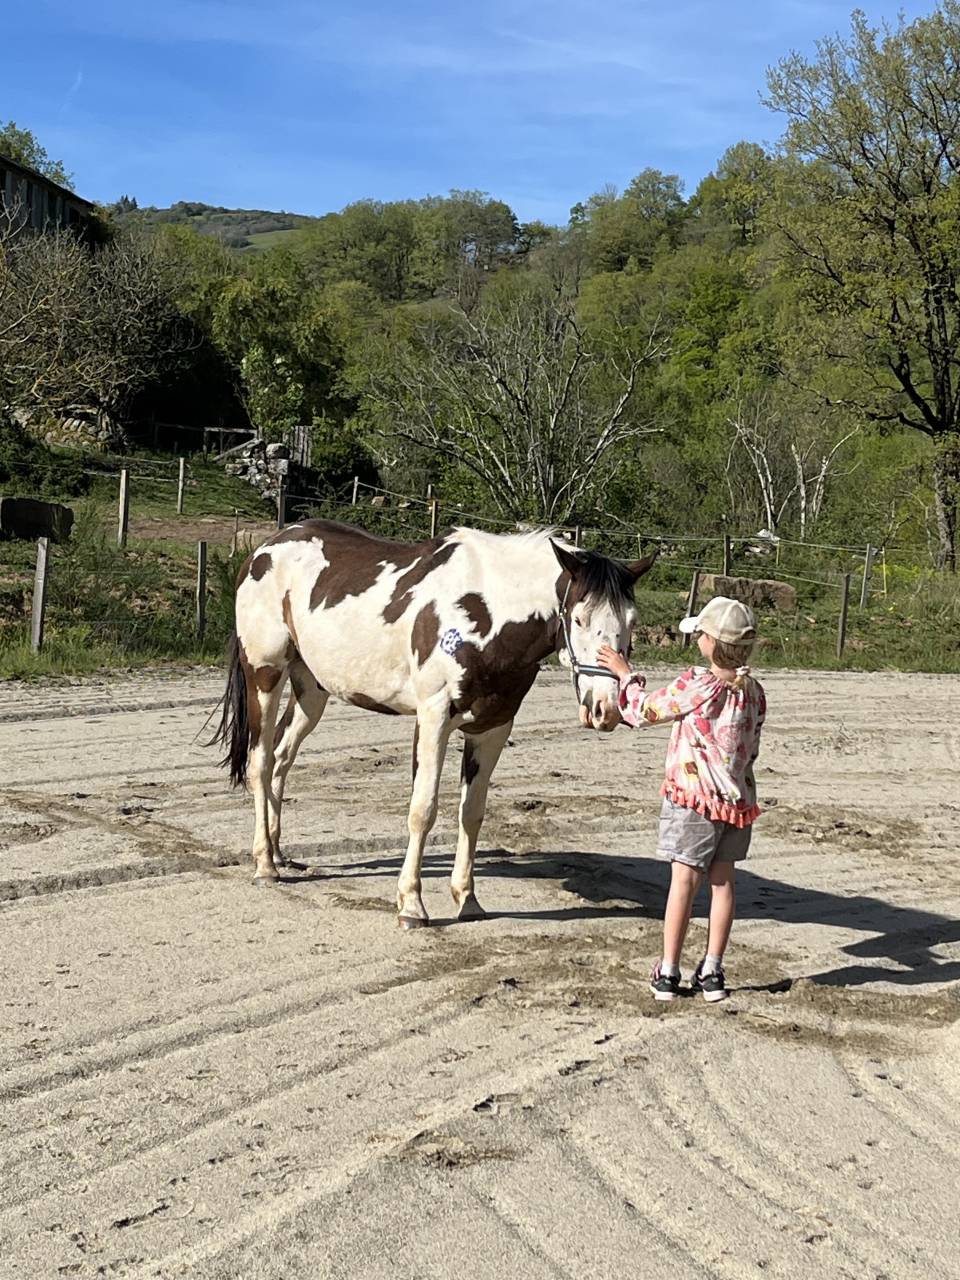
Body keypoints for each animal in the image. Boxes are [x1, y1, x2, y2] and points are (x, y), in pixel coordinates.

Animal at [213, 518, 656, 928]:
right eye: (578, 619)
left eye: (631, 622)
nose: (606, 709)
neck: (487, 612)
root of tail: (263, 549)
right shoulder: (433, 719)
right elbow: (422, 810)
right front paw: (411, 905)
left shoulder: (493, 728)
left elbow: (471, 813)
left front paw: (467, 899)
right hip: (265, 675)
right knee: (261, 762)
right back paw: (264, 865)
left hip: (312, 691)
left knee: (282, 758)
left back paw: (277, 851)